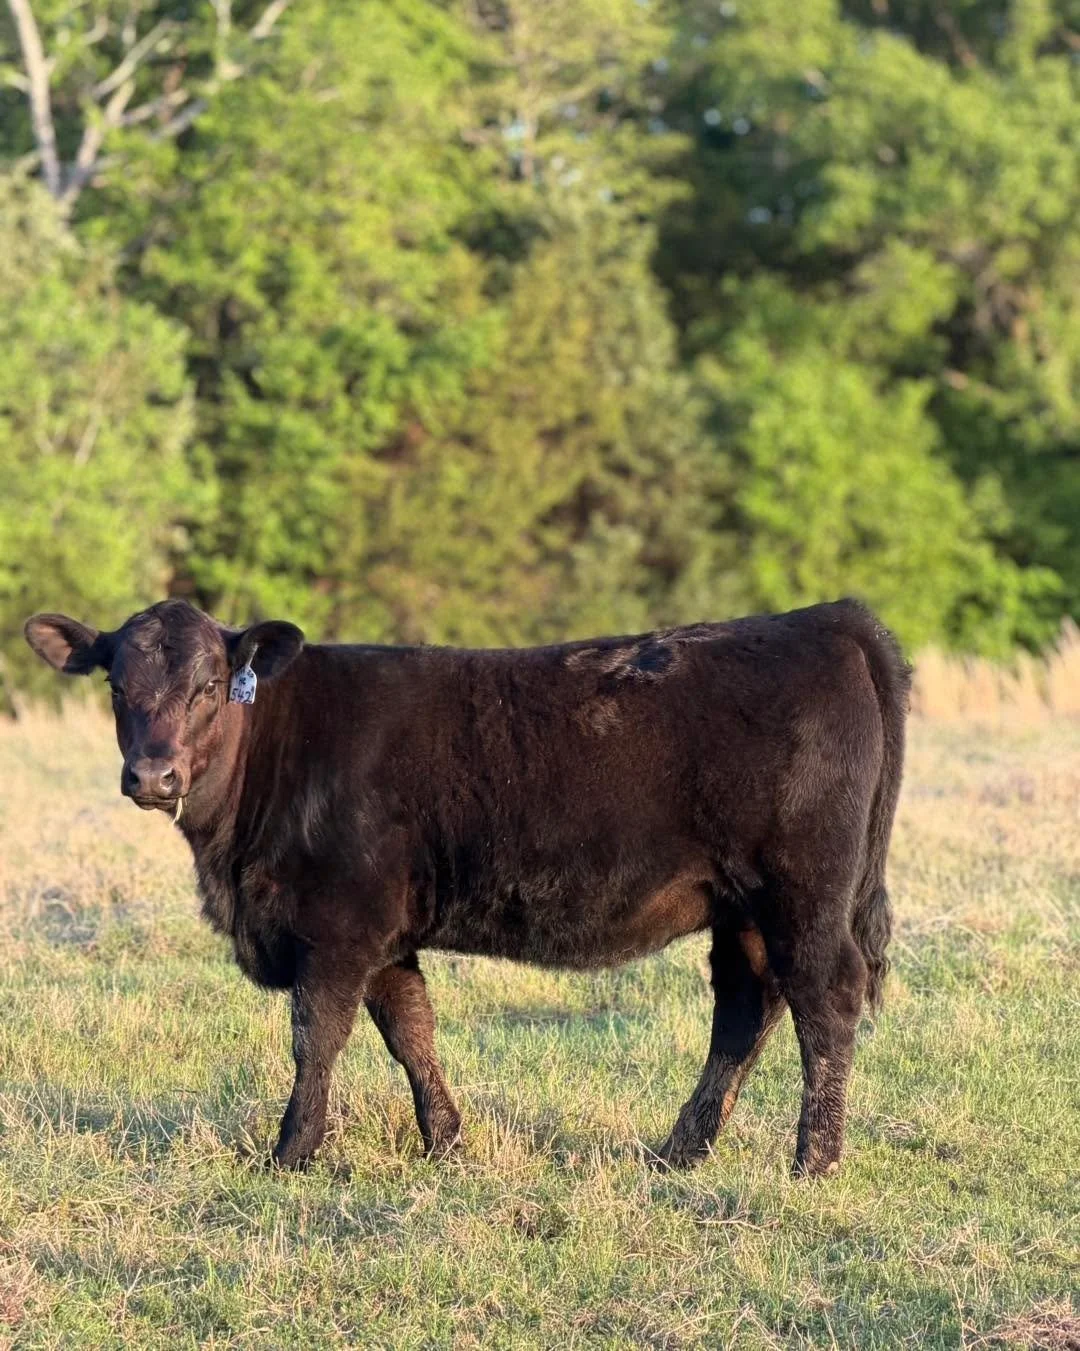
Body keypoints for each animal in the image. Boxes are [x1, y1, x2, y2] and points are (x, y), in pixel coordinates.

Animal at [25, 598, 908, 1176]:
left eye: (210, 685)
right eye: (115, 686)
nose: (152, 775)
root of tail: (825, 618)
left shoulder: (336, 924)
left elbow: (317, 1037)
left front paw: (290, 1152)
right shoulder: (382, 933)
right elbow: (410, 1029)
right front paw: (444, 1140)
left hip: (804, 894)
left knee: (824, 1003)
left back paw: (814, 1161)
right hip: (744, 907)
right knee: (746, 1010)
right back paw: (678, 1152)